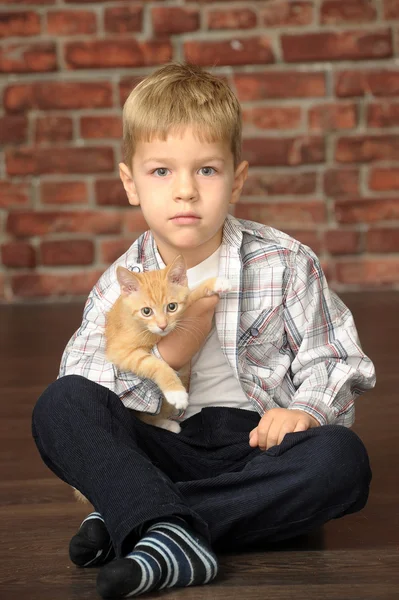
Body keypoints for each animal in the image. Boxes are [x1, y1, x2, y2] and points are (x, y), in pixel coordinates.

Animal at [72, 255, 231, 504]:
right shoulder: (122, 353)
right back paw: (168, 422)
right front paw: (175, 390)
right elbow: (157, 364)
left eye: (171, 307)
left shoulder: (181, 313)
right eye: (146, 311)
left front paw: (215, 282)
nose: (163, 325)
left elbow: (190, 295)